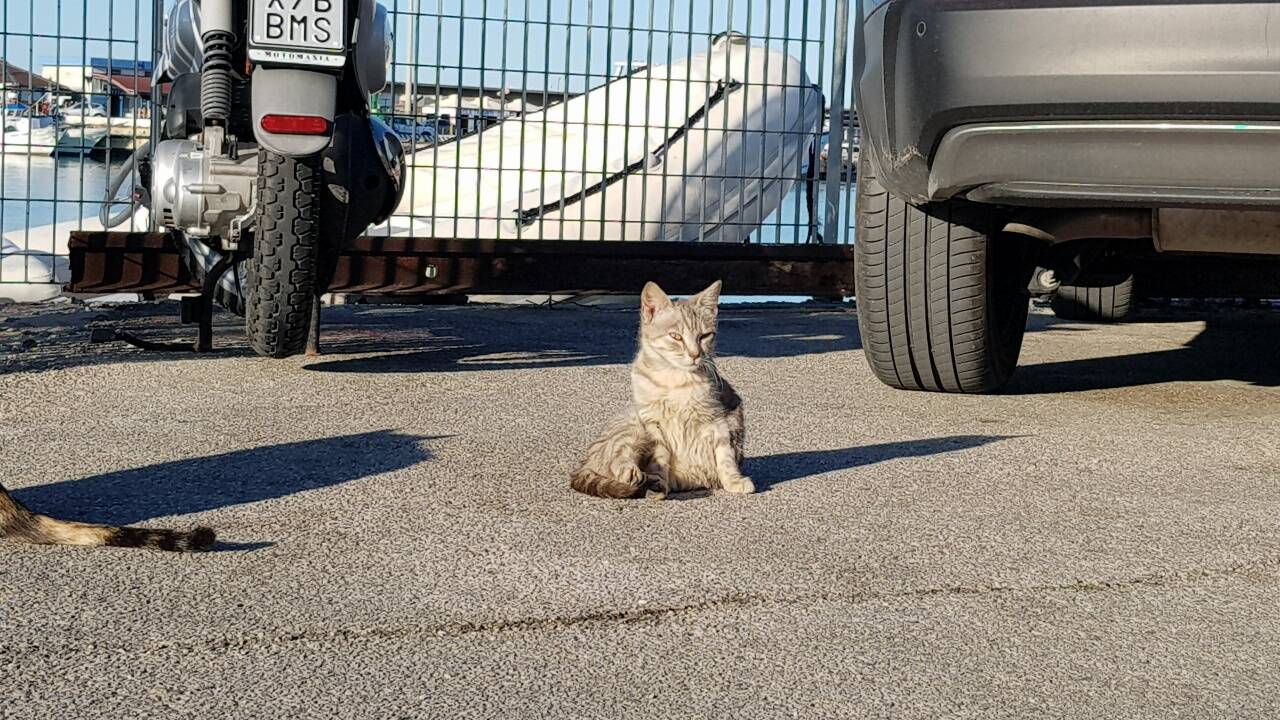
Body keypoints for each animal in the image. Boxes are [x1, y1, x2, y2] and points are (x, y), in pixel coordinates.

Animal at [570, 280, 747, 499]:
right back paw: (632, 473)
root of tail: (584, 463)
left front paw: (734, 480)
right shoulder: (653, 424)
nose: (695, 354)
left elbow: (725, 455)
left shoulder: (718, 419)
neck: (676, 381)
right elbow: (659, 459)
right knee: (615, 460)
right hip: (632, 427)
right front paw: (657, 483)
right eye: (676, 336)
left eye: (705, 336)